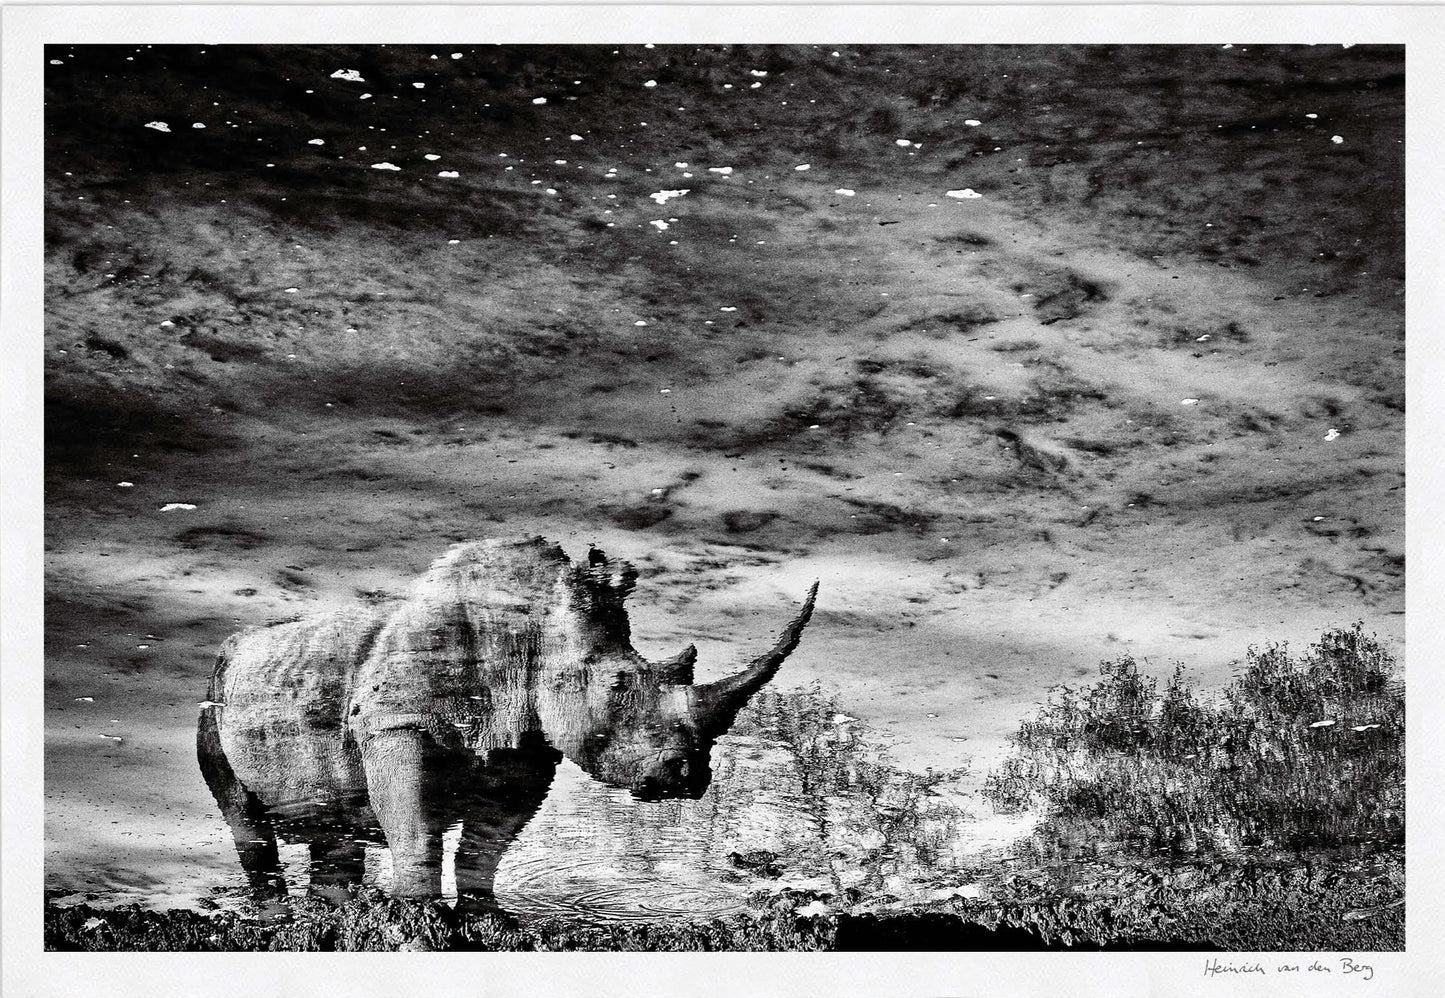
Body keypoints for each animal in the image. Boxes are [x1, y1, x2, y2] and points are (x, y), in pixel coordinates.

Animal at [197, 537, 816, 908]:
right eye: (618, 686)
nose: (690, 778)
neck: (532, 632)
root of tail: (233, 650)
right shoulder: (396, 725)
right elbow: (416, 832)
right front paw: (420, 917)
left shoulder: (527, 746)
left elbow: (486, 845)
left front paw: (485, 918)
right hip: (214, 696)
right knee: (244, 818)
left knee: (334, 830)